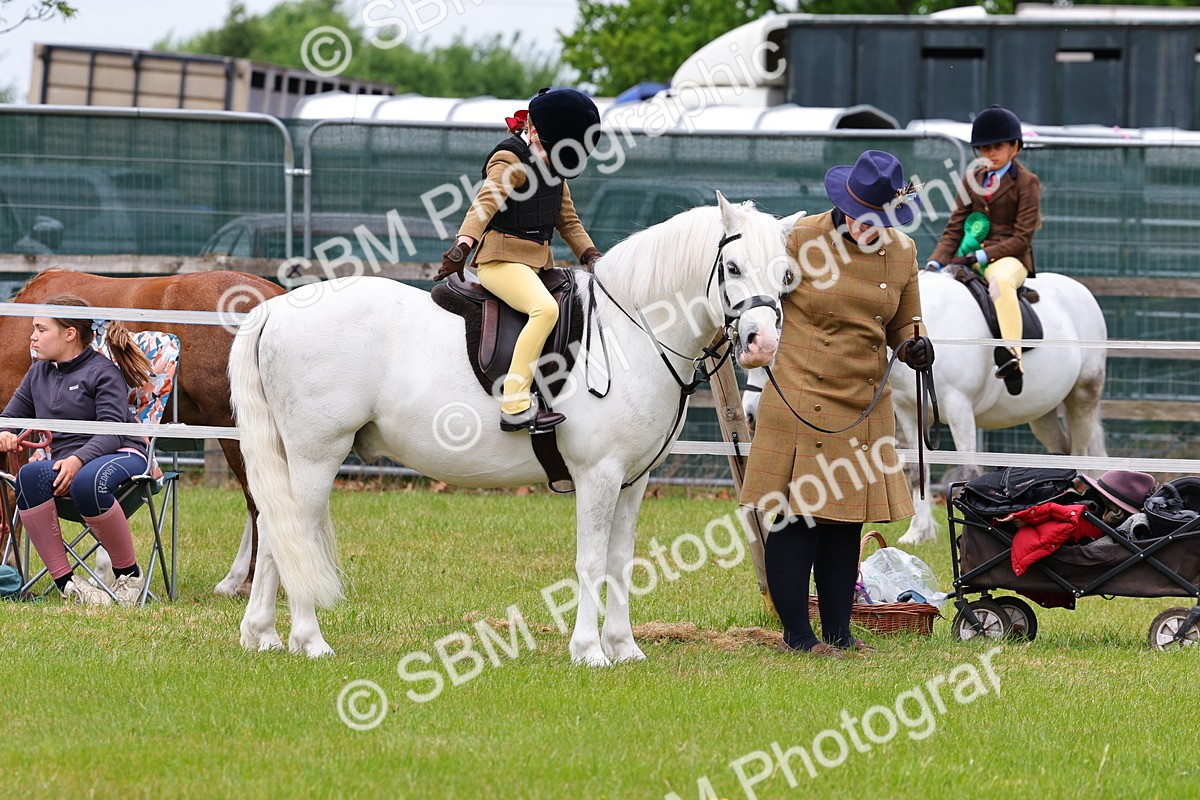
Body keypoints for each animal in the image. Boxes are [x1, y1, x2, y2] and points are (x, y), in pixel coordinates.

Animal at [230, 193, 800, 662]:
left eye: (784, 275)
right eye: (732, 266)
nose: (763, 343)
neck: (630, 330)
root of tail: (276, 309)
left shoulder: (632, 481)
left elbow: (620, 561)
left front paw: (624, 647)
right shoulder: (599, 475)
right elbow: (591, 561)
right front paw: (589, 651)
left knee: (276, 530)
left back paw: (263, 635)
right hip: (316, 455)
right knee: (295, 530)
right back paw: (309, 640)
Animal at [743, 270, 1108, 545]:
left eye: (775, 353)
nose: (749, 415)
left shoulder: (959, 409)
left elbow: (968, 472)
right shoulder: (909, 412)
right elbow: (917, 472)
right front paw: (917, 533)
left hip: (1083, 398)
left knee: (1082, 456)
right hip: (1043, 415)